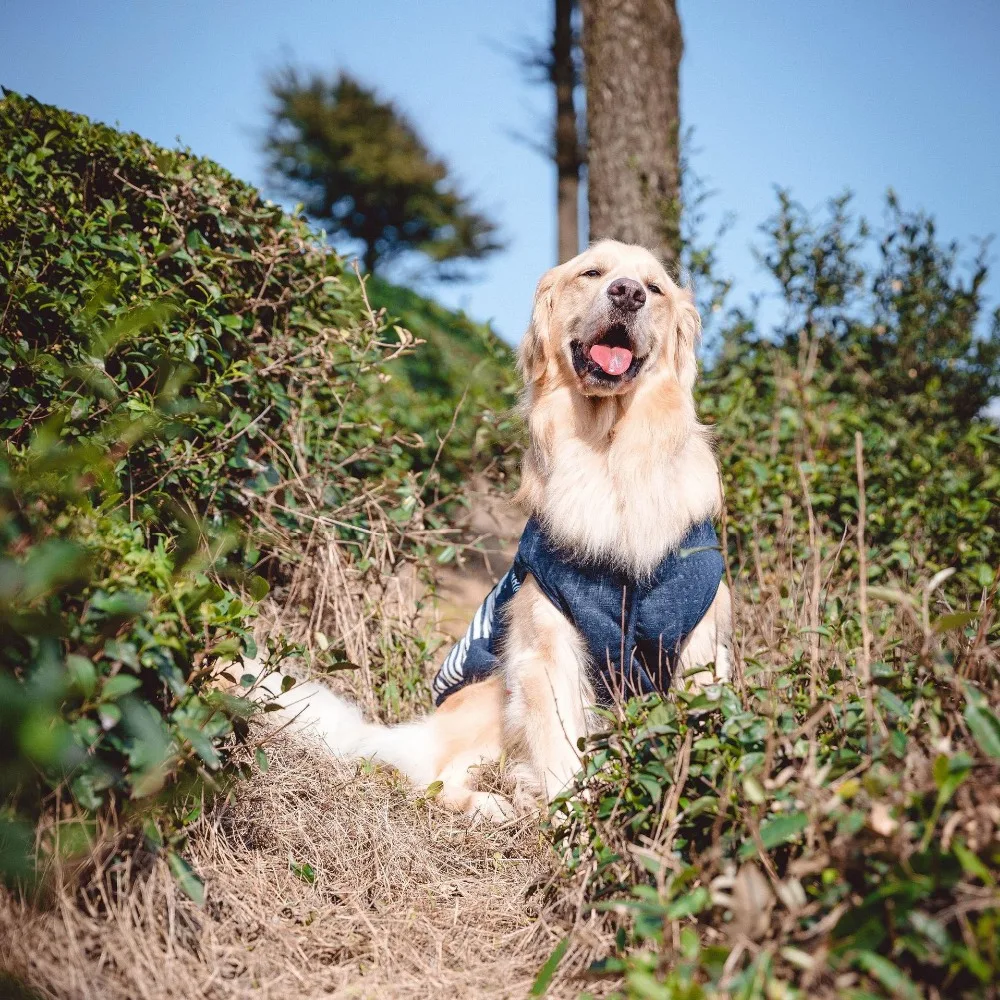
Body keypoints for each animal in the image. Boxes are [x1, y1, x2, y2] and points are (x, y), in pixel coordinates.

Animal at [262, 240, 732, 820]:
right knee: (438, 778)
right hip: (490, 689)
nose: (627, 294)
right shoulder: (547, 643)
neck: (610, 454)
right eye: (592, 273)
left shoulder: (699, 643)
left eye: (656, 288)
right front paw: (574, 824)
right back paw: (498, 802)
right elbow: (562, 754)